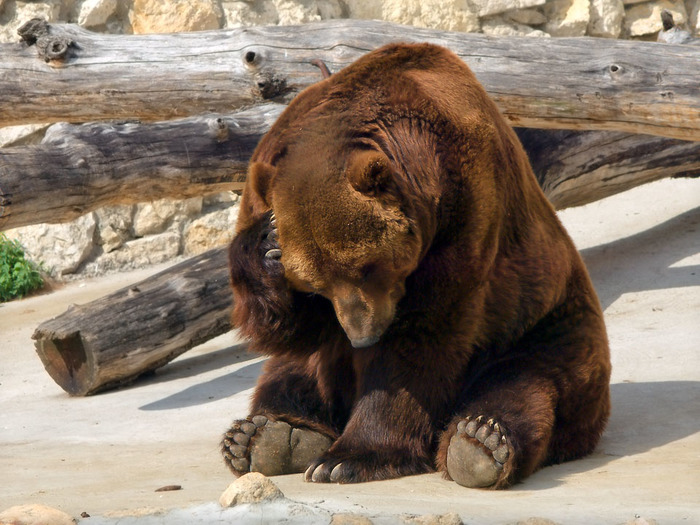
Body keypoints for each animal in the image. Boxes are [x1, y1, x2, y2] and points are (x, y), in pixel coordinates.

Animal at [221, 42, 611, 489]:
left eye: (367, 266)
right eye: (317, 287)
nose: (362, 337)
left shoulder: (467, 210)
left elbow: (422, 338)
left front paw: (349, 458)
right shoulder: (264, 177)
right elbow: (288, 329)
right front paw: (267, 243)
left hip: (548, 323)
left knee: (529, 383)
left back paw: (479, 443)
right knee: (290, 372)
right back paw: (267, 435)